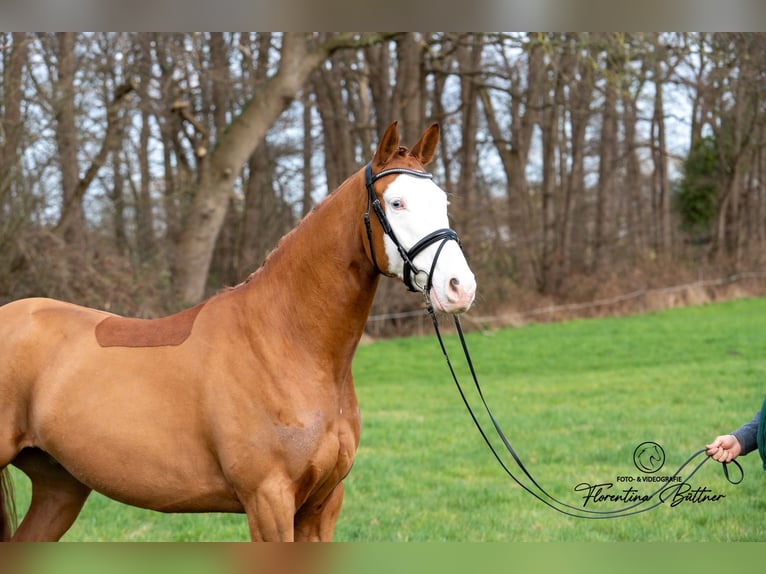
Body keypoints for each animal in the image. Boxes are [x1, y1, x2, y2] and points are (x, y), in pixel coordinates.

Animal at [0, 121, 476, 541]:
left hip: (60, 486)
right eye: (396, 203)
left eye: (443, 200)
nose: (460, 287)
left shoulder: (322, 505)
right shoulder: (268, 501)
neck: (287, 343)